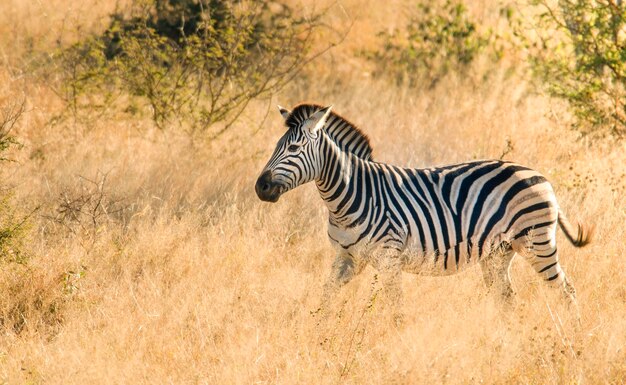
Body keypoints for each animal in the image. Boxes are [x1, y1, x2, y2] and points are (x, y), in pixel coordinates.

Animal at [254, 103, 588, 318]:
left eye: (293, 149)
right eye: (275, 147)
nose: (261, 187)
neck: (346, 198)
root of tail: (542, 176)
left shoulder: (388, 259)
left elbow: (396, 309)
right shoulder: (347, 258)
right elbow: (325, 298)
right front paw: (315, 332)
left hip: (537, 243)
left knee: (567, 292)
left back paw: (573, 337)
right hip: (498, 254)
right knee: (509, 301)